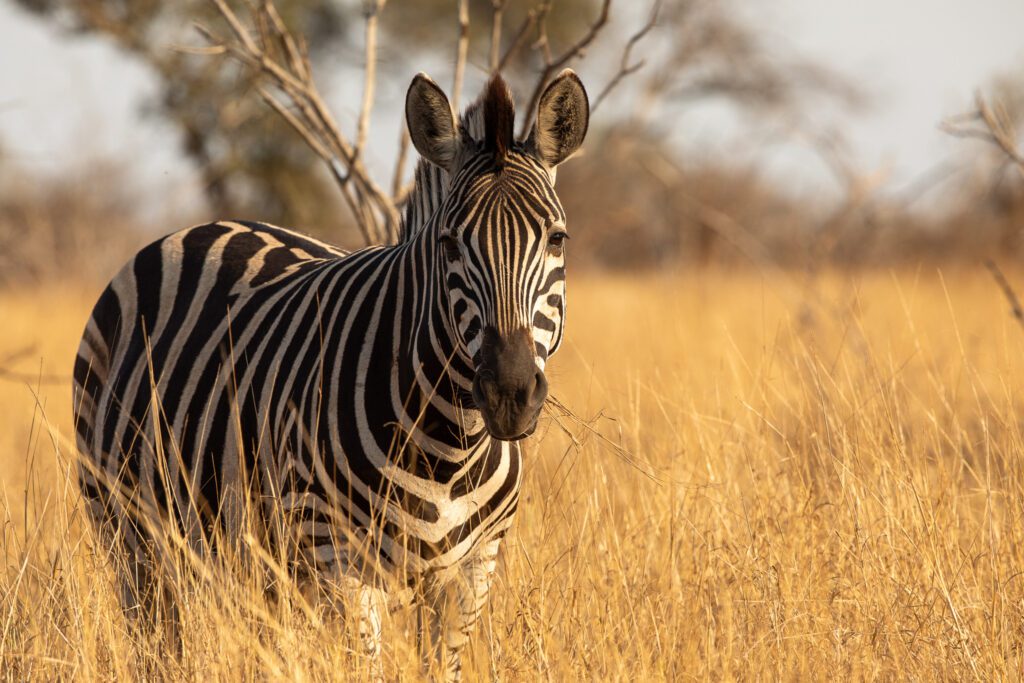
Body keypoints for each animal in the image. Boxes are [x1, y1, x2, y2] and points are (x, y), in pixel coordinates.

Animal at [74, 69, 593, 679]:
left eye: (557, 239)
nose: (510, 394)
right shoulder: (338, 562)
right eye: (449, 244)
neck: (449, 447)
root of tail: (201, 227)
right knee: (155, 642)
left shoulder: (471, 571)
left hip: (248, 560)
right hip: (130, 536)